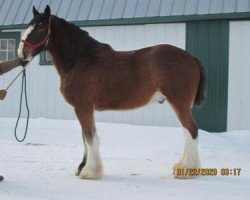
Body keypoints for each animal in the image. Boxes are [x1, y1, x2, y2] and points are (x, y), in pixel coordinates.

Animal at [17, 5, 205, 180]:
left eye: (40, 27)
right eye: (29, 25)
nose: (21, 54)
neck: (79, 60)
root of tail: (191, 57)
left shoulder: (83, 107)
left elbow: (89, 136)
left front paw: (89, 172)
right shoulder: (84, 108)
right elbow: (86, 137)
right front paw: (82, 167)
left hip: (179, 103)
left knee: (191, 130)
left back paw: (187, 169)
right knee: (187, 131)